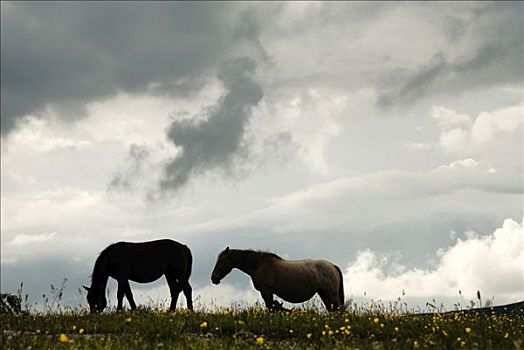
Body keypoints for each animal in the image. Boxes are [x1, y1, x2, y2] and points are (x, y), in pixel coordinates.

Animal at [211, 246, 346, 312]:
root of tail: (332, 266)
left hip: (331, 294)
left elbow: (270, 307)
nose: (214, 278)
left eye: (221, 261)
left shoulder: (266, 292)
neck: (259, 265)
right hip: (323, 293)